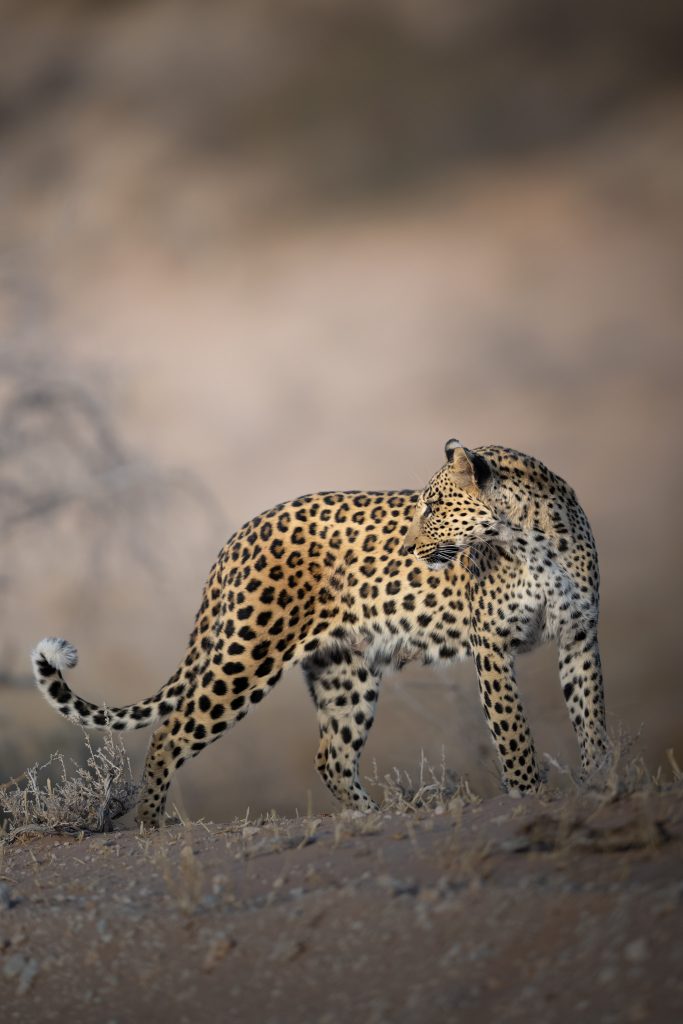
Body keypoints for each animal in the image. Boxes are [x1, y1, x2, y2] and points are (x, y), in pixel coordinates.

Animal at [32, 439, 607, 827]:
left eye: (435, 506)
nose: (407, 548)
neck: (533, 539)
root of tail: (240, 533)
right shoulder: (492, 645)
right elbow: (513, 732)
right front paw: (529, 796)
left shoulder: (580, 635)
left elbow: (590, 716)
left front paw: (604, 783)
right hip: (248, 654)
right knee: (171, 731)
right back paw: (152, 824)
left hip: (344, 669)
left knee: (332, 755)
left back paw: (374, 816)